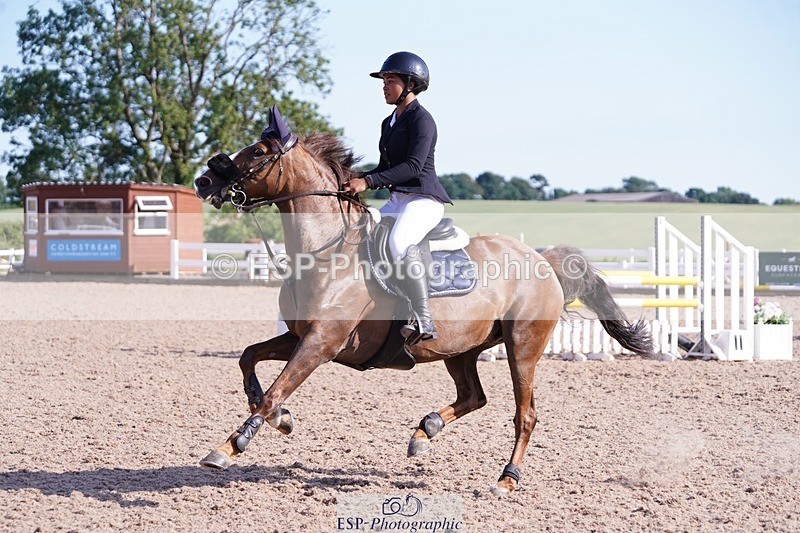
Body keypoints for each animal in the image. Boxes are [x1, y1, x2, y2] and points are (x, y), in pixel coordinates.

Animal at [194, 106, 652, 495]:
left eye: (257, 152)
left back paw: (505, 478)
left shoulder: (322, 342)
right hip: (462, 348)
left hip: (522, 346)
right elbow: (249, 358)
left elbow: (276, 390)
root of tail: (541, 258)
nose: (203, 181)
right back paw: (424, 431)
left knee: (525, 414)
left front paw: (232, 445)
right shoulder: (302, 336)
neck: (329, 249)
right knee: (473, 396)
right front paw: (279, 419)